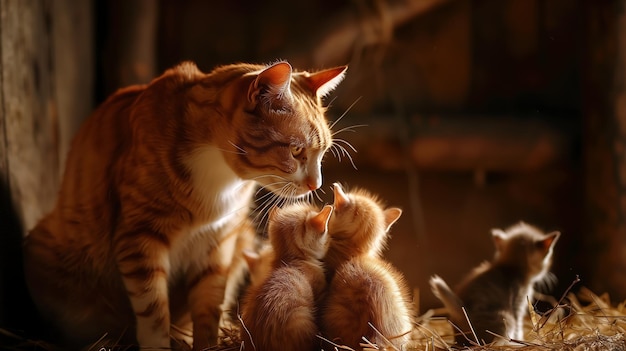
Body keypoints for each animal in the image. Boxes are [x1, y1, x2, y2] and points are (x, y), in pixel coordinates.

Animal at [432, 223, 560, 346]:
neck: (512, 268)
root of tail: (462, 315)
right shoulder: (517, 305)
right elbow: (518, 328)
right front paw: (520, 342)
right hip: (505, 317)